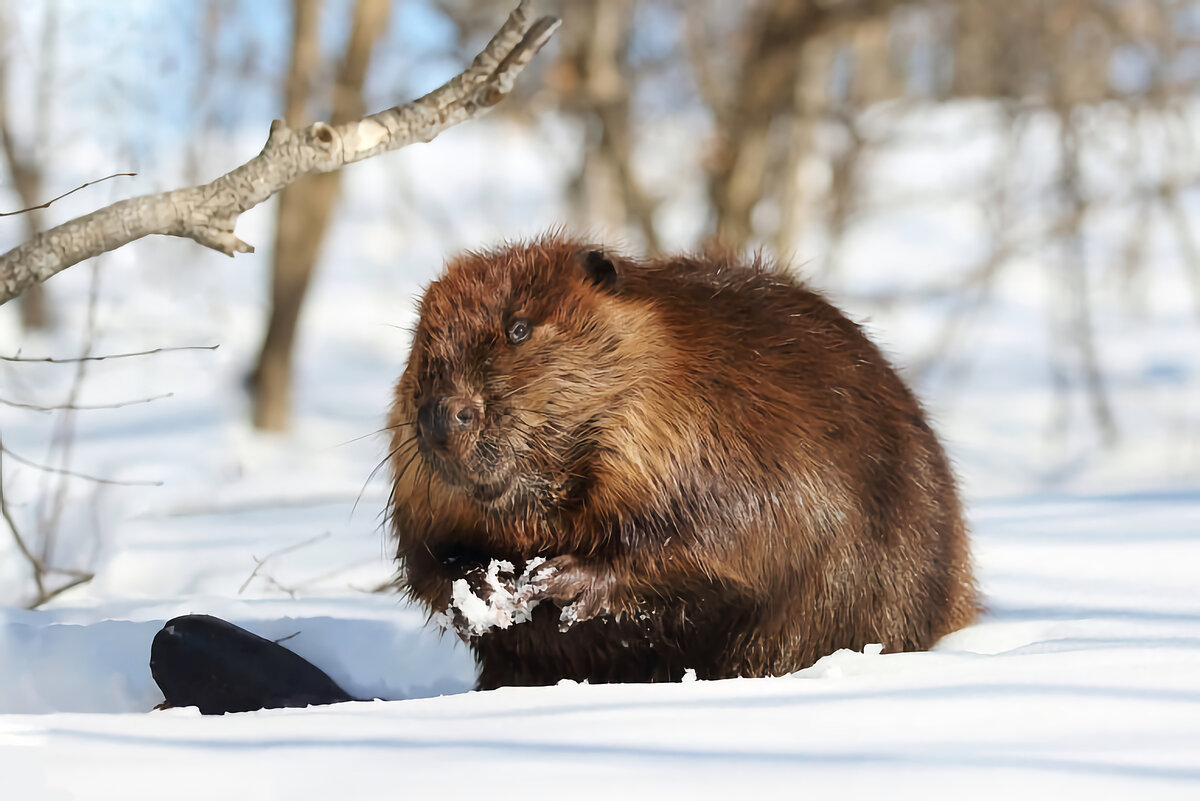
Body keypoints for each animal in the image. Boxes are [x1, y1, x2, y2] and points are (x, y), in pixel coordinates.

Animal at [388, 232, 979, 690]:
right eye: (422, 340)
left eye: (518, 328)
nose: (441, 416)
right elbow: (426, 559)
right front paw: (485, 586)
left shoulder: (732, 433)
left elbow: (734, 541)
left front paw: (563, 580)